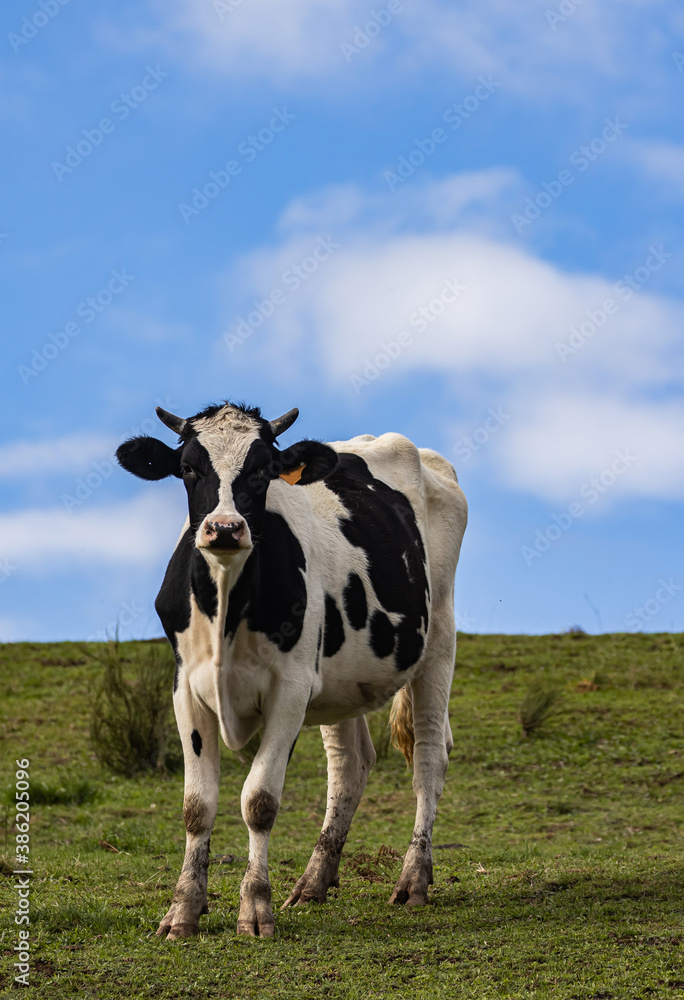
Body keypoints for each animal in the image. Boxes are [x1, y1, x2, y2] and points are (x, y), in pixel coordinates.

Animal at [119, 398, 470, 936]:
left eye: (263, 469)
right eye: (188, 468)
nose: (225, 529)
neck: (227, 605)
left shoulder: (290, 688)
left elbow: (259, 801)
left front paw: (254, 908)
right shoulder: (186, 688)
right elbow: (197, 807)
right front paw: (182, 912)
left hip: (438, 638)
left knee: (430, 755)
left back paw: (413, 880)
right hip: (344, 678)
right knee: (349, 765)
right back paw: (313, 883)